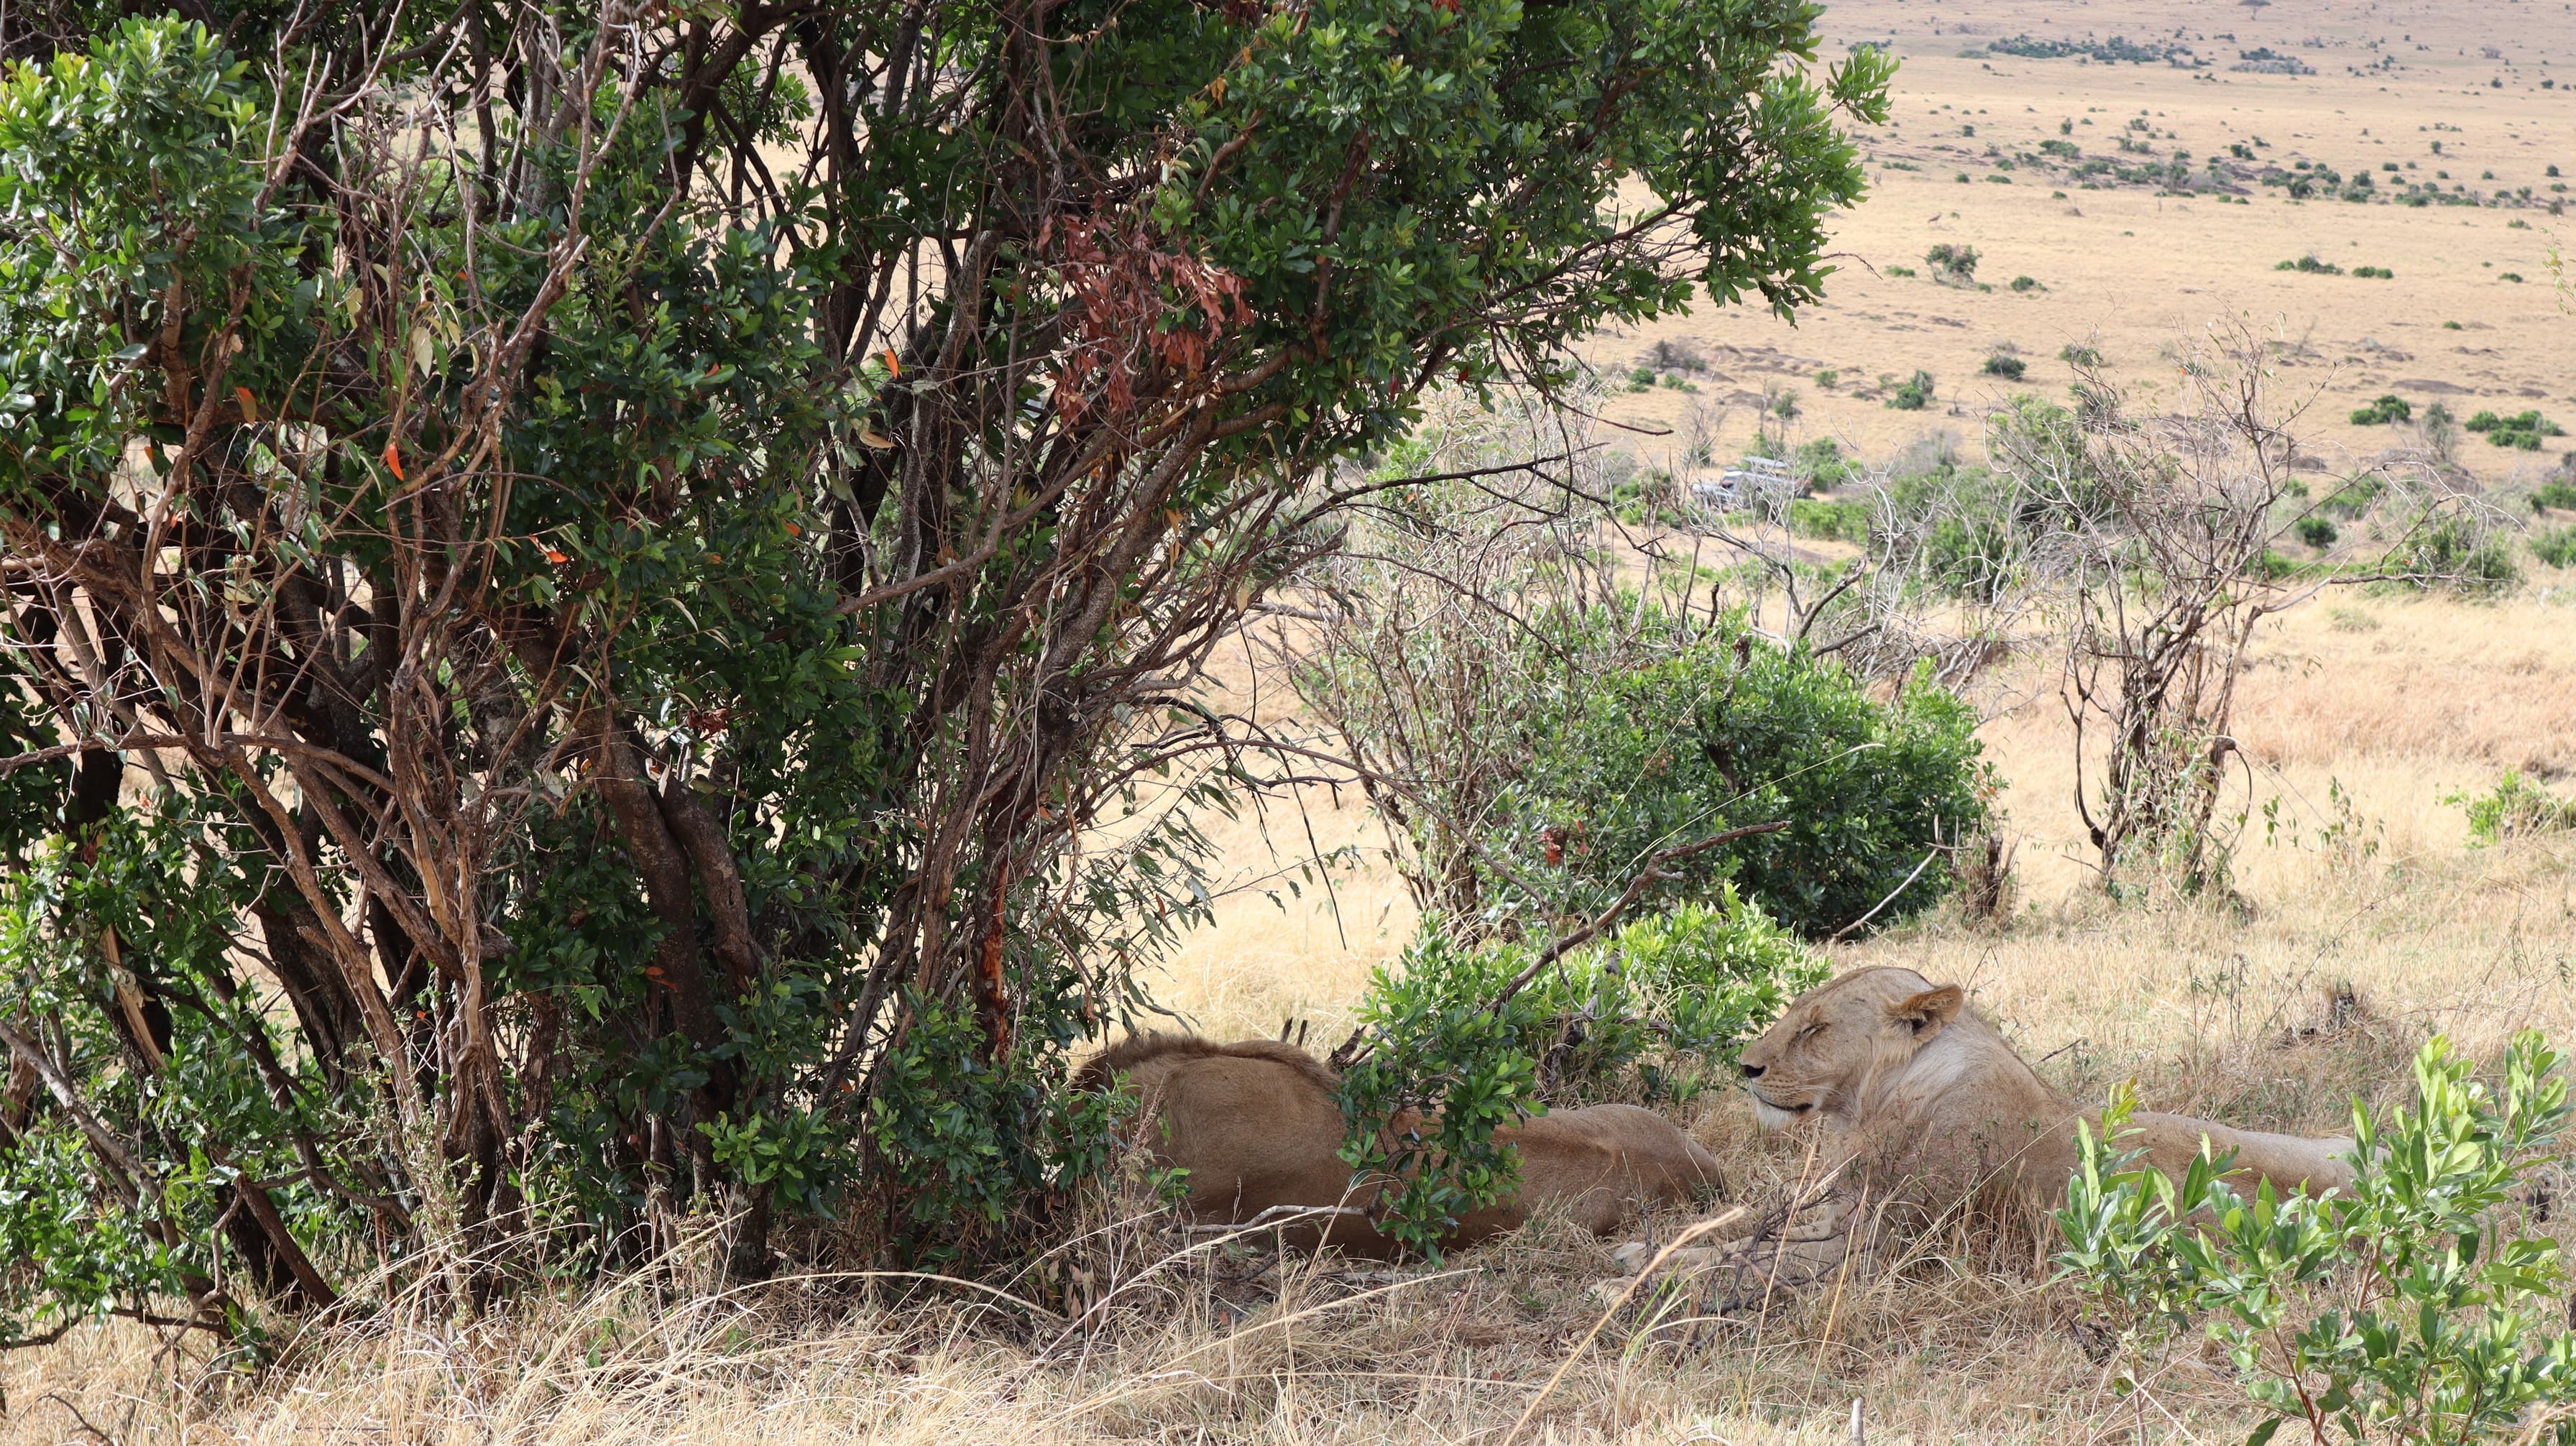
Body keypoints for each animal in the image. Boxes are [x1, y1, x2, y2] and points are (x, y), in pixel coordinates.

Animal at [1607, 966, 2355, 1284]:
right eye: (1797, 1013)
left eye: (1817, 1029)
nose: (1746, 1067)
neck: (1867, 1105)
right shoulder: (1836, 1210)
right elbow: (1737, 1233)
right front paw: (1642, 1252)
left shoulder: (1880, 1247)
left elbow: (1753, 1262)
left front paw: (1629, 1284)